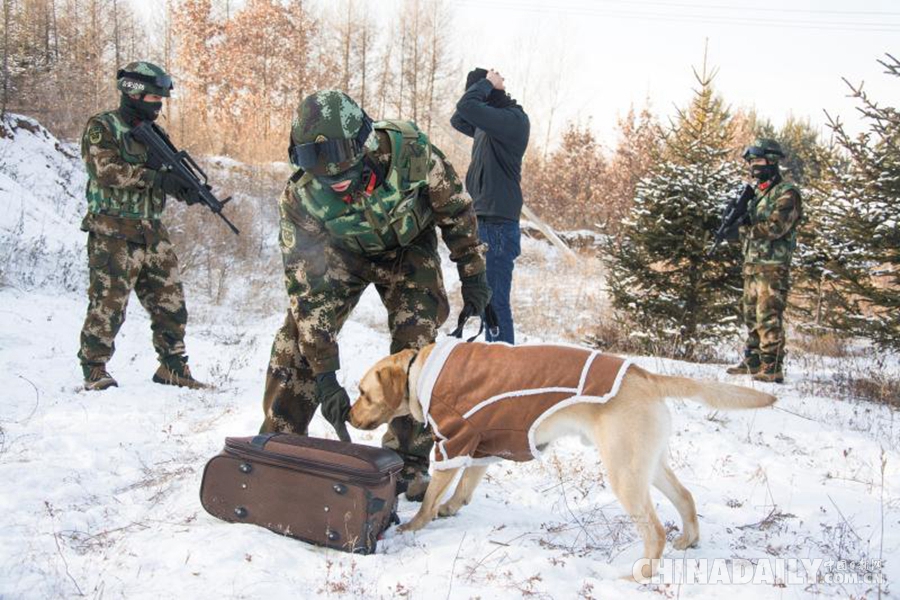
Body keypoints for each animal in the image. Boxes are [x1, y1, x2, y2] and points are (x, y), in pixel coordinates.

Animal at [348, 340, 776, 576]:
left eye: (364, 392)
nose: (348, 417)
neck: (418, 371)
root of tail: (644, 374)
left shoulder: (453, 441)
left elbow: (433, 497)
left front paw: (414, 525)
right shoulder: (484, 443)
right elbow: (465, 487)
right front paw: (451, 508)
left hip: (624, 471)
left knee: (655, 530)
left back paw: (640, 575)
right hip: (647, 463)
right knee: (685, 498)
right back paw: (688, 540)